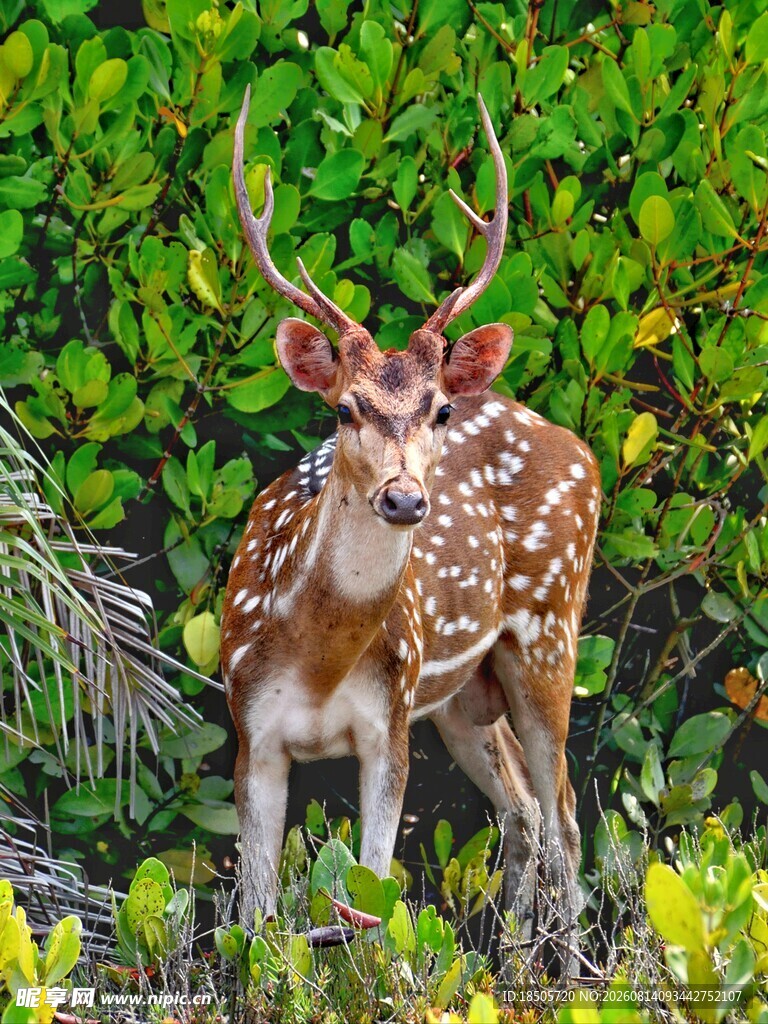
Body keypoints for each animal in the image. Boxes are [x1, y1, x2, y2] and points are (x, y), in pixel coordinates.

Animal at [221, 86, 601, 950]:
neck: (318, 659)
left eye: (439, 409)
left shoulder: (387, 724)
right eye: (345, 409)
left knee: (564, 818)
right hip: (463, 696)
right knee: (525, 811)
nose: (403, 498)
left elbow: (371, 901)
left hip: (549, 631)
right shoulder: (250, 725)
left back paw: (565, 966)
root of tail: (581, 450)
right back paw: (515, 960)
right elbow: (257, 921)